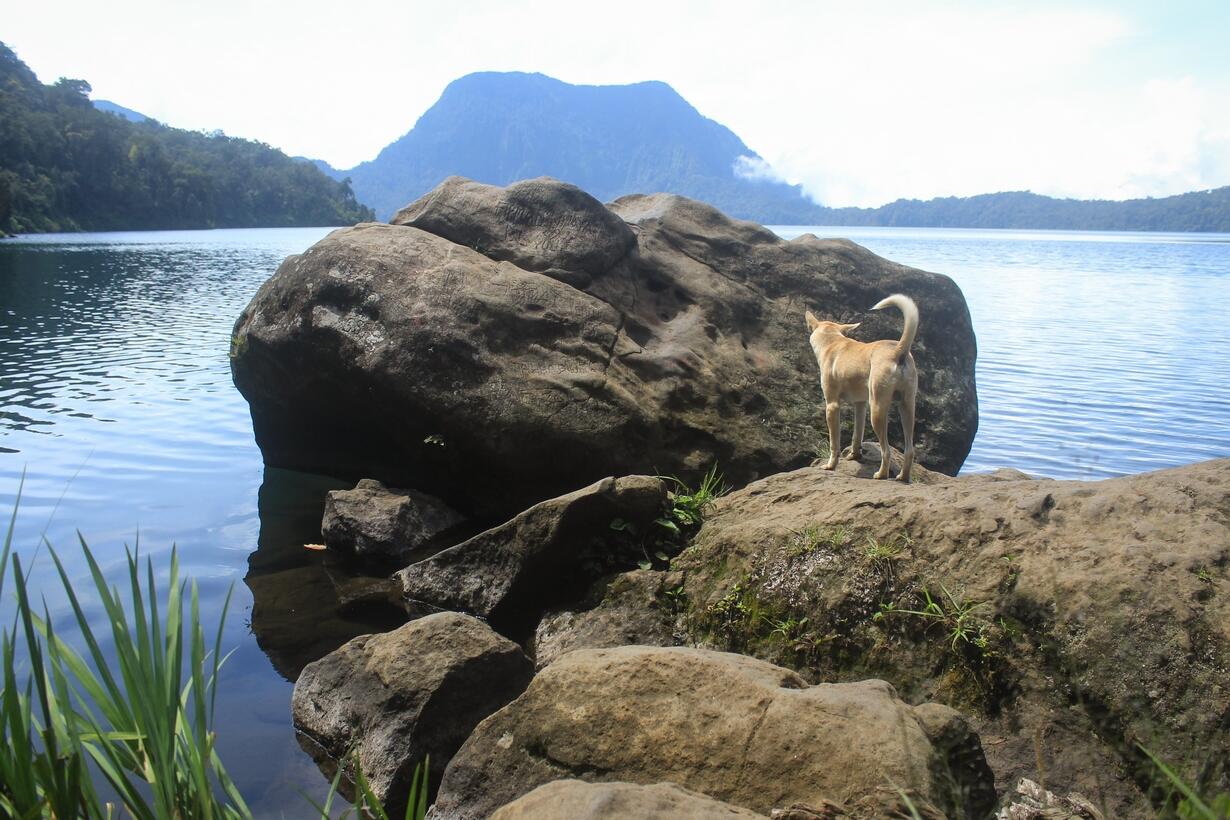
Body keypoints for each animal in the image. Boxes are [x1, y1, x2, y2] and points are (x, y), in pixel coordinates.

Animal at [806, 296, 915, 481]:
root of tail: (898, 351)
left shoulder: (832, 406)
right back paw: (903, 476)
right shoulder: (860, 404)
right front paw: (854, 455)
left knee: (886, 451)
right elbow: (857, 433)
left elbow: (834, 443)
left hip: (877, 408)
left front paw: (831, 465)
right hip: (907, 407)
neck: (832, 341)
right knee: (909, 450)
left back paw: (881, 474)